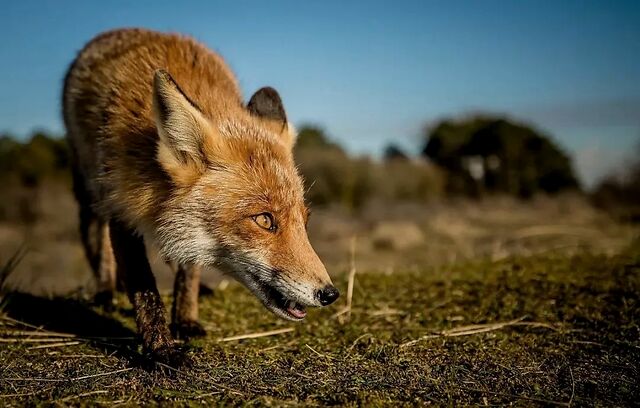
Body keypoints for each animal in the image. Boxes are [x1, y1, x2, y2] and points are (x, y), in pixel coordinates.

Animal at [62, 28, 338, 364]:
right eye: (264, 219)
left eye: (304, 220)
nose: (329, 294)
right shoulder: (120, 205)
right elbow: (143, 287)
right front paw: (160, 348)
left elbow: (189, 271)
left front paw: (185, 319)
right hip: (91, 190)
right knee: (97, 240)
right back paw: (104, 291)